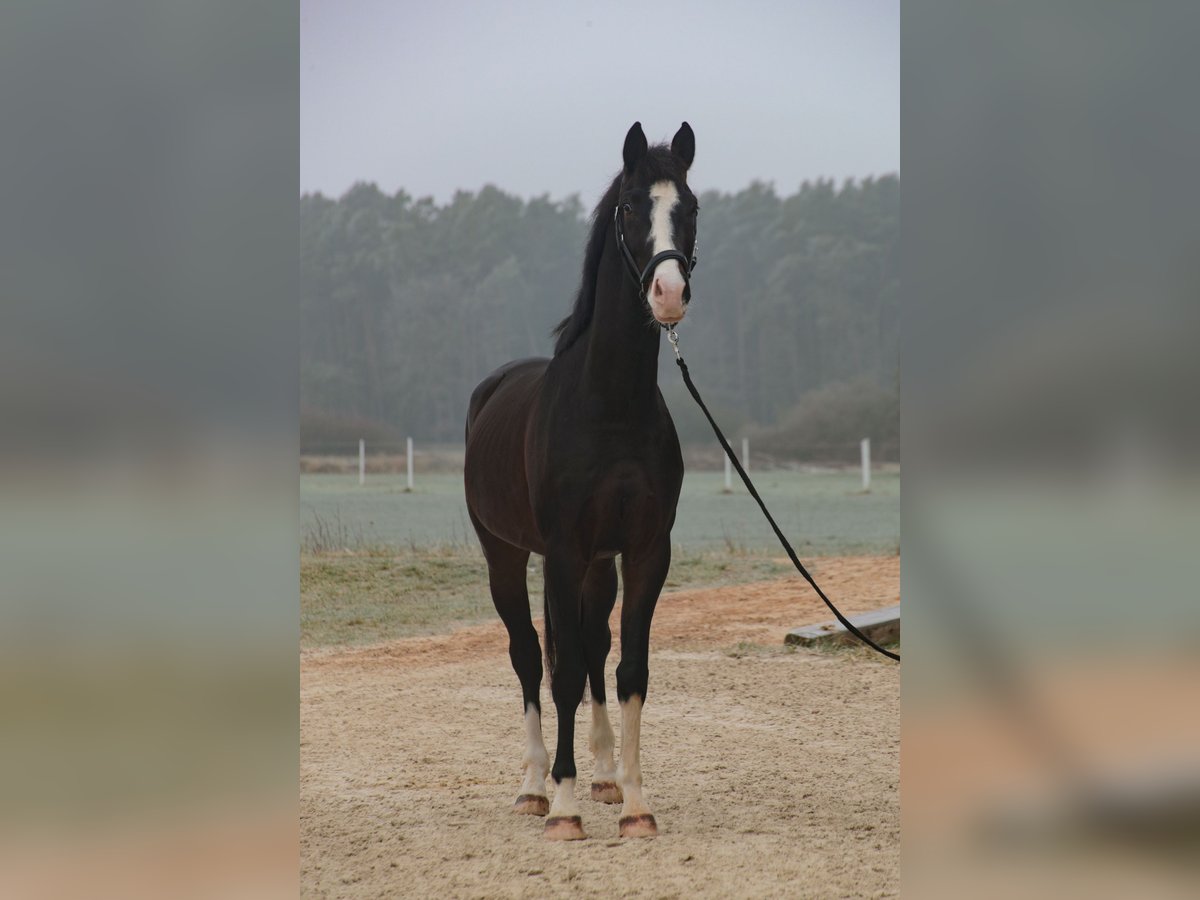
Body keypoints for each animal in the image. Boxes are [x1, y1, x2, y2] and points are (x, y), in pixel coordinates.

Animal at [463, 123, 700, 844]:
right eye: (629, 207)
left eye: (690, 207)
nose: (668, 293)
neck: (611, 406)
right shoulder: (562, 552)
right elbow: (561, 672)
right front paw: (565, 811)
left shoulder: (645, 551)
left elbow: (628, 669)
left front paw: (635, 804)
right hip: (508, 555)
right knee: (529, 655)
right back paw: (536, 788)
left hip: (596, 564)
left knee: (594, 647)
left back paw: (600, 775)